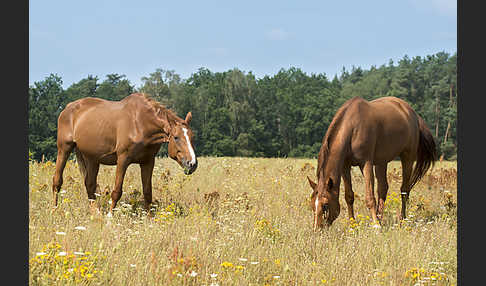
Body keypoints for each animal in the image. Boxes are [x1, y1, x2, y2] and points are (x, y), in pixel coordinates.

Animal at [51, 92, 197, 216]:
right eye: (176, 137)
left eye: (192, 137)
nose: (192, 164)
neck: (140, 123)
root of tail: (67, 108)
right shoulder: (123, 160)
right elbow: (117, 191)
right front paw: (110, 218)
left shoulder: (148, 162)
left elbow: (147, 193)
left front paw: (149, 219)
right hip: (64, 149)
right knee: (57, 181)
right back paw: (54, 210)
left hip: (91, 158)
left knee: (90, 185)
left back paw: (95, 214)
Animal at [308, 96, 436, 230]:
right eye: (312, 204)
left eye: (325, 205)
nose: (317, 229)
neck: (353, 128)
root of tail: (412, 114)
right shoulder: (345, 166)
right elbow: (349, 196)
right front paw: (353, 225)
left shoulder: (366, 164)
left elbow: (370, 197)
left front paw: (376, 226)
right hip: (381, 162)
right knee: (383, 189)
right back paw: (381, 218)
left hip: (407, 157)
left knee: (404, 190)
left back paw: (402, 220)